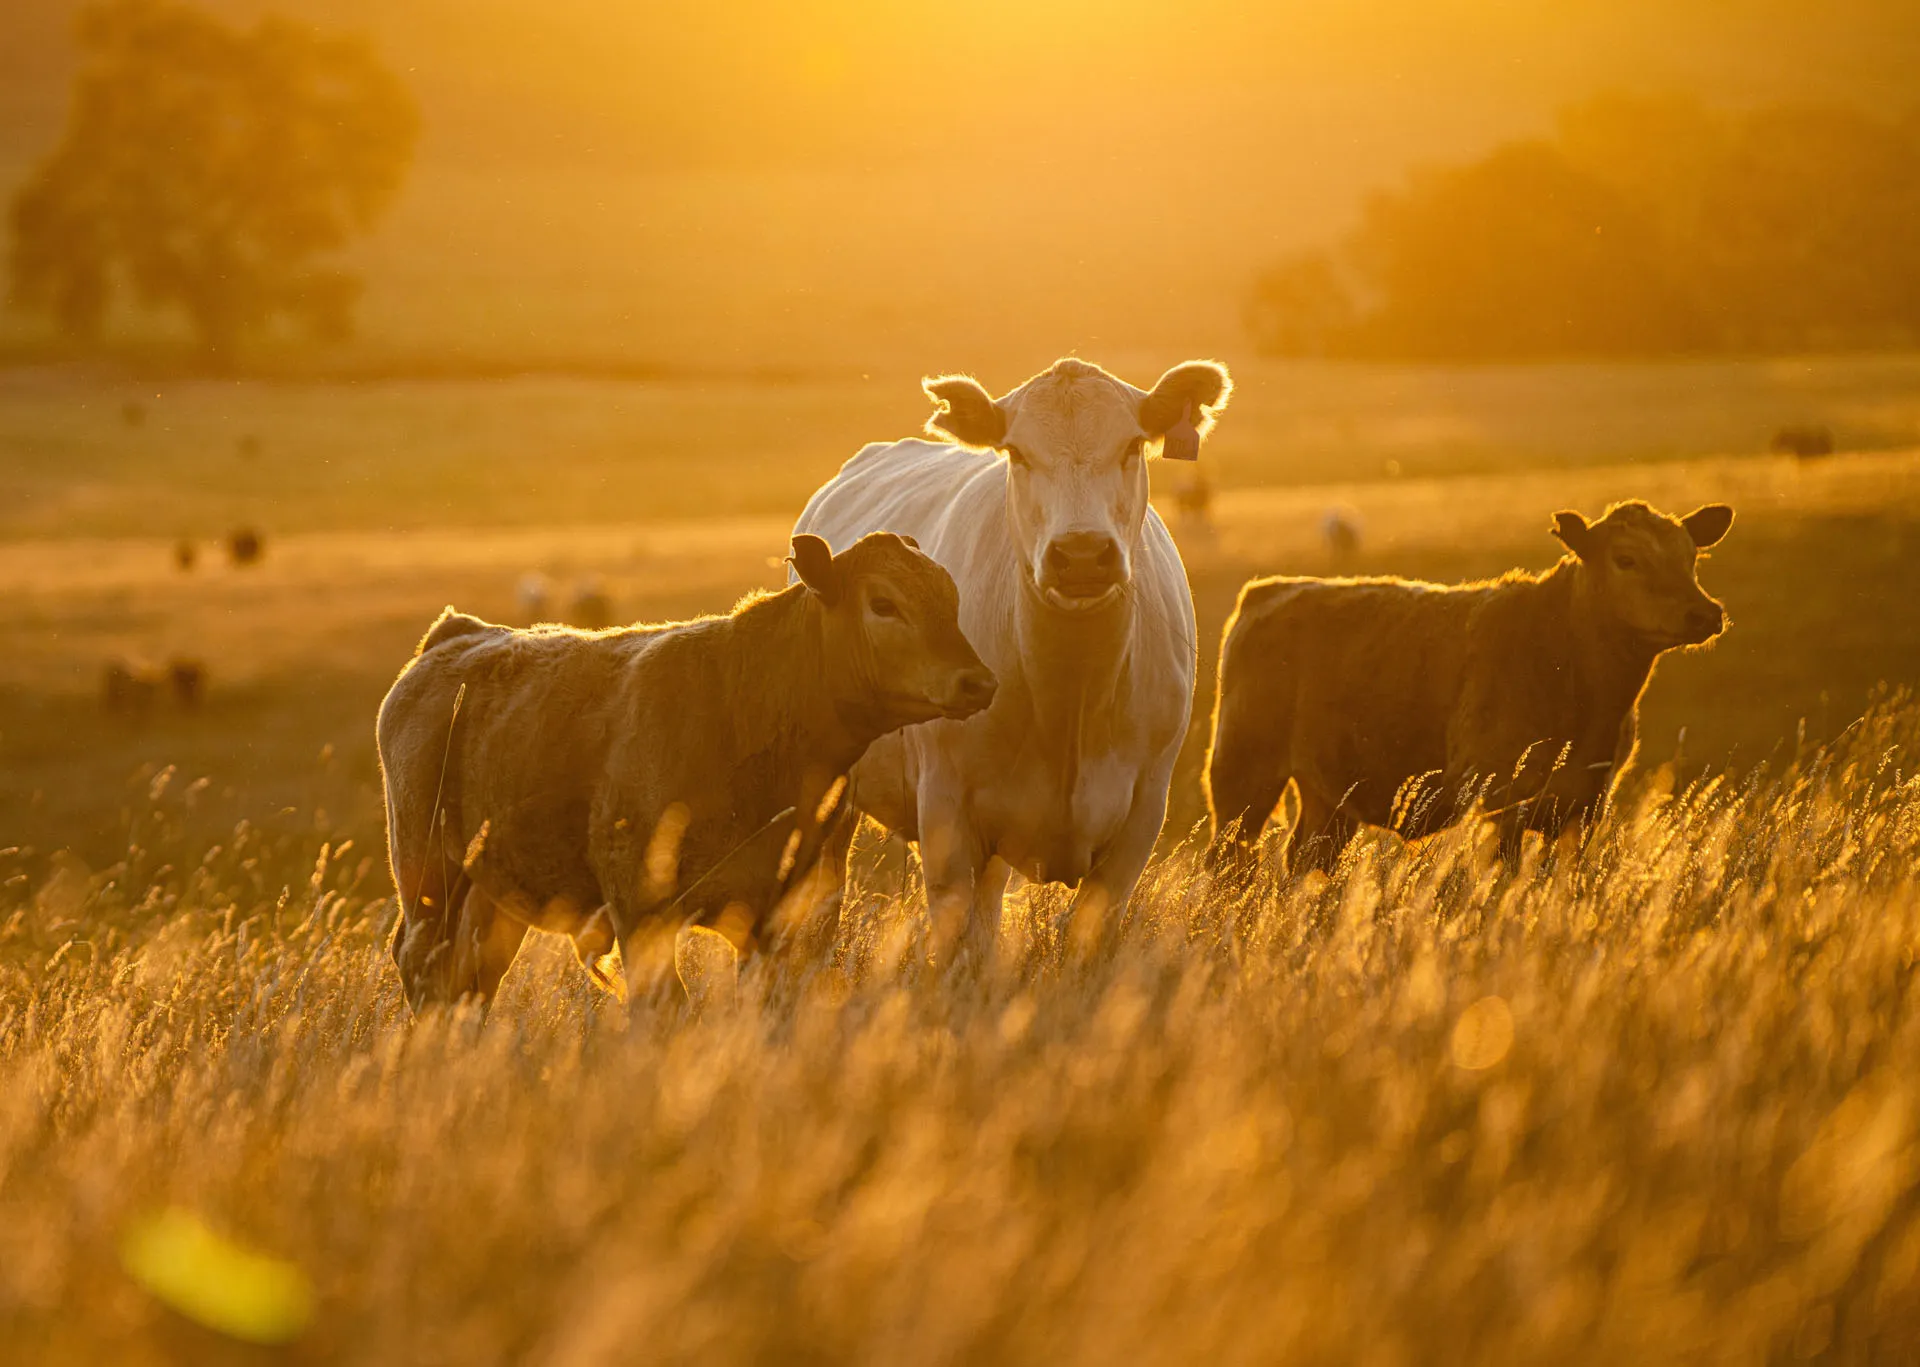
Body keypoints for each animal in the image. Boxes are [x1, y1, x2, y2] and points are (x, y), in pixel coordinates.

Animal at [376, 532, 995, 1013]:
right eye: (883, 603)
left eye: (951, 598)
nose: (978, 682)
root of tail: (460, 634)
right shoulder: (639, 908)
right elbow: (664, 1002)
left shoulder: (792, 913)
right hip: (428, 873)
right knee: (424, 963)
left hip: (490, 891)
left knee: (475, 976)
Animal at [792, 357, 1233, 965]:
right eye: (1018, 453)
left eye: (1131, 446)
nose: (1081, 554)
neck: (1069, 692)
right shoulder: (947, 813)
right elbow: (955, 941)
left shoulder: (1142, 812)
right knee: (824, 898)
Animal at [1205, 500, 1734, 874]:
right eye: (1626, 559)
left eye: (1691, 557)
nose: (1705, 613)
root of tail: (1272, 589)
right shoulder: (1502, 801)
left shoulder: (1584, 808)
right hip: (1242, 778)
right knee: (1228, 861)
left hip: (1328, 798)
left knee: (1303, 861)